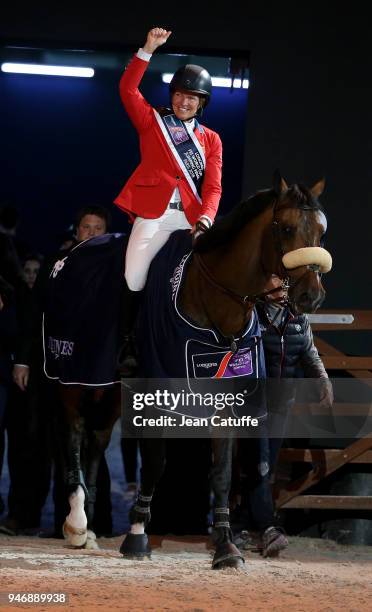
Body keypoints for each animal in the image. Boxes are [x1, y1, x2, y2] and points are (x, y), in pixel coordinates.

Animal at [118, 169, 332, 568]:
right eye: (285, 228)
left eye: (321, 232)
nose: (311, 296)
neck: (212, 298)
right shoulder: (158, 395)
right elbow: (155, 462)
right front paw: (136, 535)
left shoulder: (228, 396)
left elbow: (222, 472)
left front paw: (225, 545)